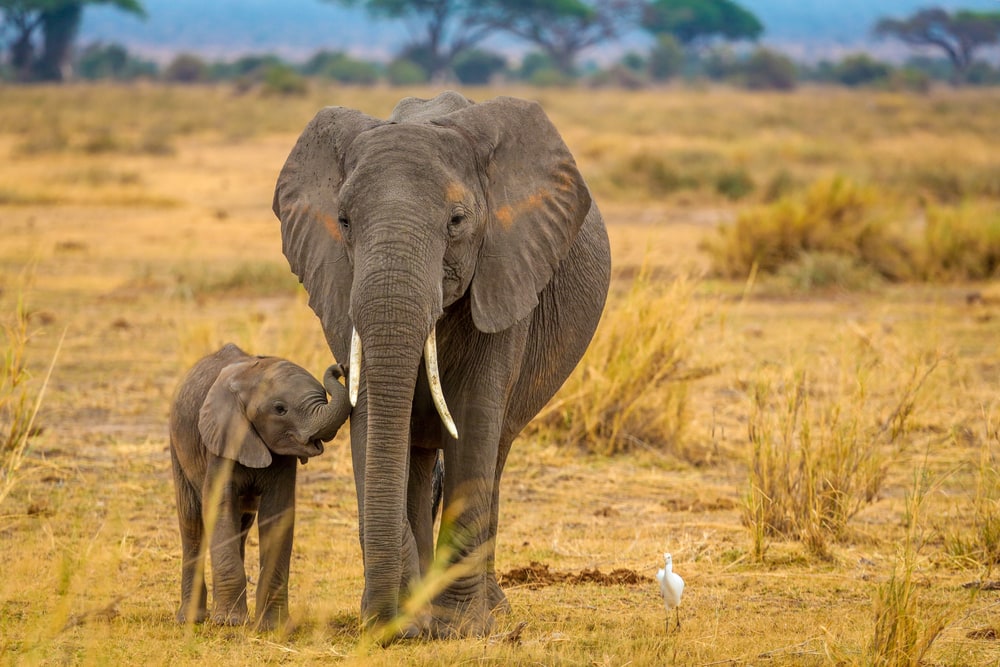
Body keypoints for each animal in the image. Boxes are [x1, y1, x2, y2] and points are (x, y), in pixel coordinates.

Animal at [169, 343, 351, 630]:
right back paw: (191, 619)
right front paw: (229, 623)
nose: (340, 367)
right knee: (192, 523)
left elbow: (277, 515)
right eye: (280, 409)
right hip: (177, 445)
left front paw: (272, 627)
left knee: (240, 526)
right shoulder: (222, 441)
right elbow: (218, 506)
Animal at [273, 91, 611, 638]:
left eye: (456, 222)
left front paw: (461, 628)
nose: (335, 373)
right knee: (417, 454)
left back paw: (492, 612)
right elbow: (374, 421)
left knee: (494, 453)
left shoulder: (504, 273)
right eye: (343, 221)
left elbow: (473, 421)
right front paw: (411, 621)